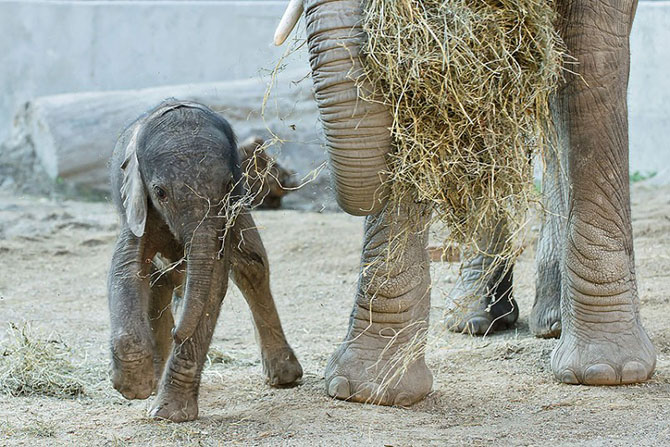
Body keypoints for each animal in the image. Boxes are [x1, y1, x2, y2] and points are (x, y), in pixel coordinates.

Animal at [107, 100, 302, 424]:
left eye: (228, 186)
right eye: (160, 192)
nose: (177, 334)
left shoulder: (229, 212)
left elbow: (213, 284)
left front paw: (168, 414)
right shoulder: (137, 203)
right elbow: (127, 269)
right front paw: (136, 388)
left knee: (253, 268)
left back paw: (285, 377)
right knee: (159, 285)